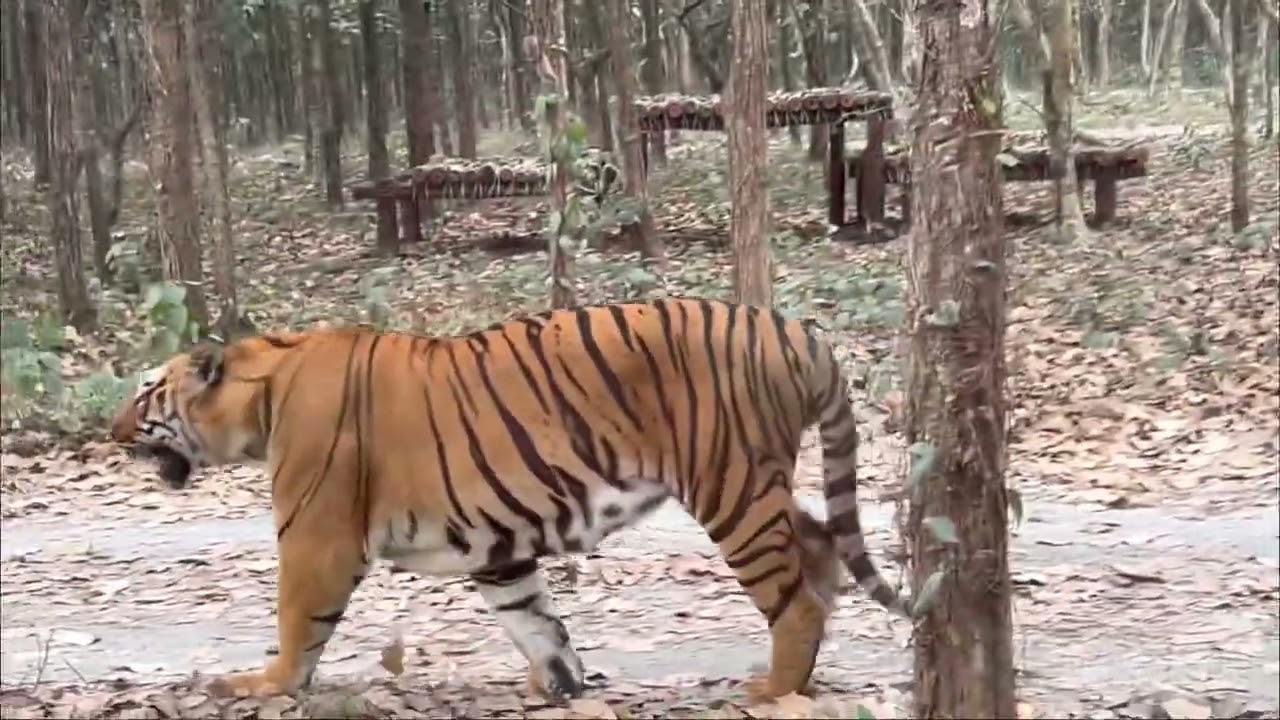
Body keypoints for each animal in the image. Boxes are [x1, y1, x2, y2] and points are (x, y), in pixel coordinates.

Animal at [108, 297, 912, 702]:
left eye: (146, 394)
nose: (110, 434)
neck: (261, 398)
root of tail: (798, 330)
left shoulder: (317, 536)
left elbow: (297, 620)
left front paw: (262, 684)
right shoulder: (494, 544)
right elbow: (534, 619)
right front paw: (561, 685)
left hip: (730, 484)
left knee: (795, 597)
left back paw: (772, 690)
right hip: (756, 482)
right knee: (820, 545)